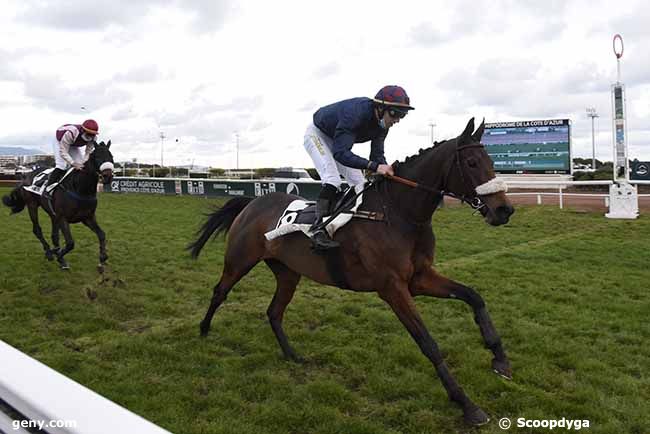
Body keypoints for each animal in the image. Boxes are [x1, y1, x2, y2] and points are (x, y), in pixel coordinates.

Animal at [2, 142, 114, 272]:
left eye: (111, 156)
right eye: (97, 157)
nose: (107, 176)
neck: (79, 188)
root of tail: (26, 176)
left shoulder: (87, 218)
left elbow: (102, 234)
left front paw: (103, 257)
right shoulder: (63, 218)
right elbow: (70, 243)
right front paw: (60, 257)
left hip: (52, 214)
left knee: (54, 235)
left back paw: (55, 250)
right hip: (32, 205)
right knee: (37, 229)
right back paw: (49, 252)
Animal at [190, 119, 512, 428]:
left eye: (491, 161)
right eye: (472, 163)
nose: (504, 210)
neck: (398, 213)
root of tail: (252, 203)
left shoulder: (419, 278)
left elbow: (474, 296)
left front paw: (500, 360)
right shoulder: (393, 288)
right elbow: (428, 342)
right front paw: (467, 405)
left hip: (288, 273)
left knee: (274, 311)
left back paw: (292, 355)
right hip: (239, 261)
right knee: (220, 292)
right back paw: (203, 331)